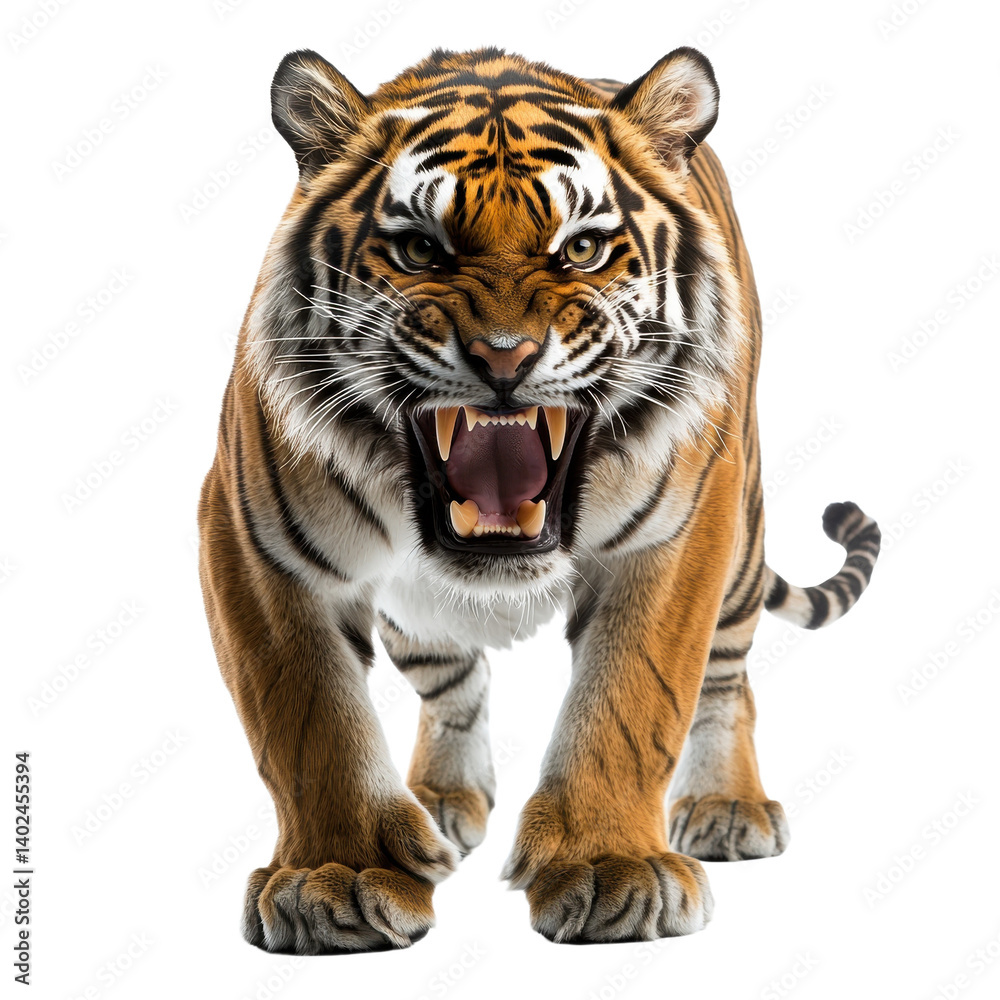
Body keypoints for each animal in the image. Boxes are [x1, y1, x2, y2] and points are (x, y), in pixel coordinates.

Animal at [198, 45, 880, 952]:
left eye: (582, 249)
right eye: (420, 250)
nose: (504, 357)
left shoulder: (675, 538)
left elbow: (633, 700)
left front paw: (613, 870)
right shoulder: (251, 543)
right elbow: (310, 722)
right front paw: (335, 878)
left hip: (738, 545)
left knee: (728, 676)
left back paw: (728, 806)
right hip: (417, 613)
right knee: (454, 683)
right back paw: (441, 803)